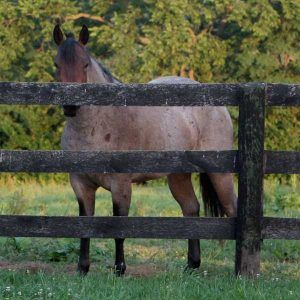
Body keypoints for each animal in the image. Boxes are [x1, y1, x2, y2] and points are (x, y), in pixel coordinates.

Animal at [53, 24, 237, 276]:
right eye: (57, 65)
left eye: (85, 64)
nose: (71, 106)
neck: (96, 126)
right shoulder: (80, 184)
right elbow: (84, 225)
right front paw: (83, 269)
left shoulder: (121, 186)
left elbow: (120, 228)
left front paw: (119, 270)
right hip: (178, 176)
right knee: (191, 209)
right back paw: (192, 265)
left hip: (220, 174)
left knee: (234, 210)